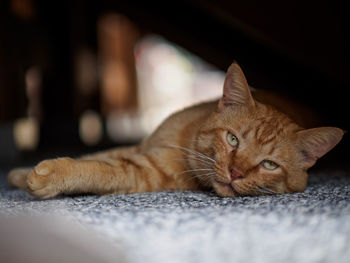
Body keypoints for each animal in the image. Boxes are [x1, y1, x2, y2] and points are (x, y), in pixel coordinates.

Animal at [8, 62, 344, 198]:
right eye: (232, 139)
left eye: (269, 165)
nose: (236, 173)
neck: (185, 140)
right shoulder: (139, 147)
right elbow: (97, 154)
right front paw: (20, 173)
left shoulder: (141, 170)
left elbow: (99, 168)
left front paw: (48, 176)